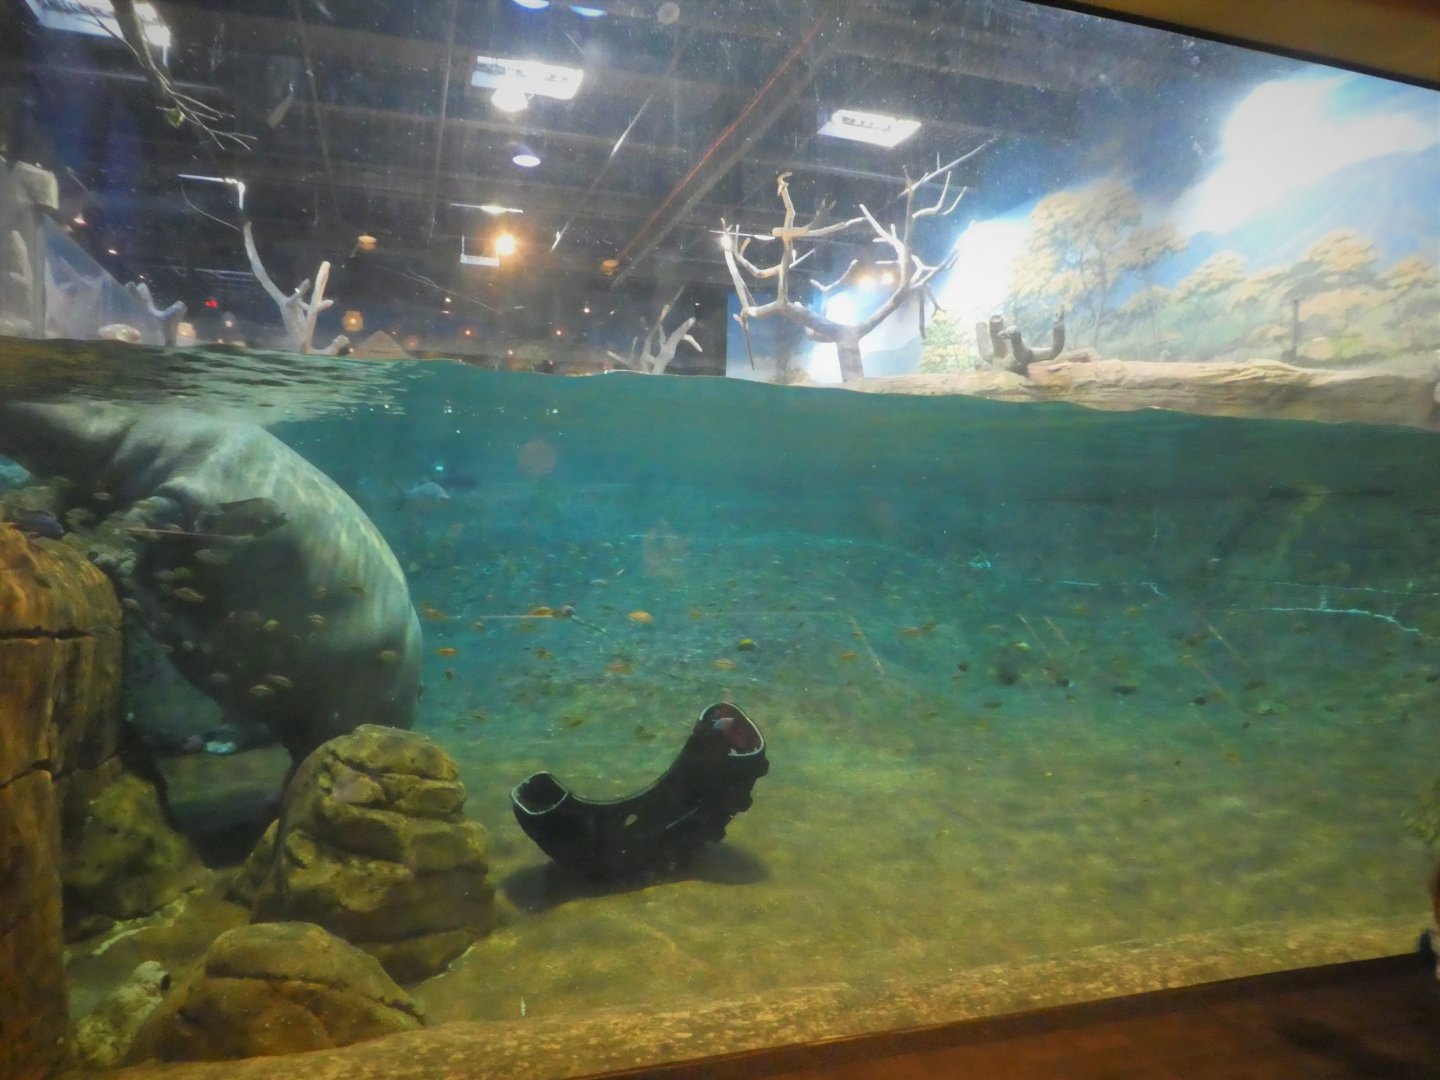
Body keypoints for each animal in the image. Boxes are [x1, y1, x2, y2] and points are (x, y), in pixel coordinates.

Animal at [0, 400, 423, 761]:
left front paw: (97, 552)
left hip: (338, 716)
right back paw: (213, 740)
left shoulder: (189, 491)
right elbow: (75, 501)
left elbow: (139, 519)